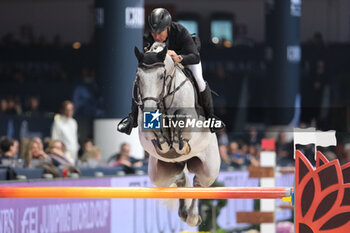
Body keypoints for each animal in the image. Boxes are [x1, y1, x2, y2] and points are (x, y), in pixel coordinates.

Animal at [133, 41, 220, 226]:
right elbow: (157, 137)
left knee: (199, 182)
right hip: (159, 174)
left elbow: (181, 135)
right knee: (180, 178)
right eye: (138, 78)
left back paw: (192, 216)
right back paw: (184, 209)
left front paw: (177, 143)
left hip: (210, 169)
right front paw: (164, 141)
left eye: (161, 76)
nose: (150, 109)